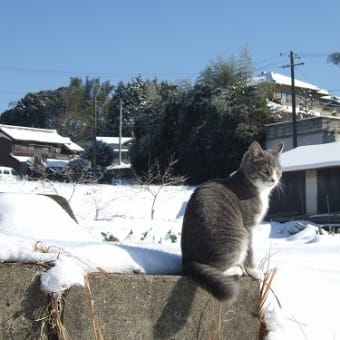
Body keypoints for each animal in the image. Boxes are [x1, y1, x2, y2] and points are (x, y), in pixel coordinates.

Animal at [181, 141, 284, 300]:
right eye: (266, 171)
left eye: (278, 172)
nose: (274, 180)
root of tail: (188, 261)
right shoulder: (248, 226)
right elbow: (250, 251)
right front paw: (254, 271)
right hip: (237, 237)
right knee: (217, 267)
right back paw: (237, 269)